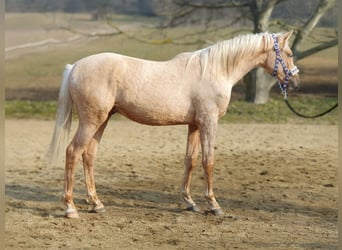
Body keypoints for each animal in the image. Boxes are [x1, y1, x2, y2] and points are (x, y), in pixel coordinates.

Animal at [48, 31, 300, 219]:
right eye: (288, 53)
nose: (295, 82)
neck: (215, 70)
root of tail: (75, 67)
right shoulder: (209, 121)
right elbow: (208, 161)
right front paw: (214, 205)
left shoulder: (194, 125)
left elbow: (191, 160)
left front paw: (189, 202)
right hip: (92, 121)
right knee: (73, 152)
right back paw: (70, 208)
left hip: (102, 120)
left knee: (88, 156)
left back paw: (96, 204)